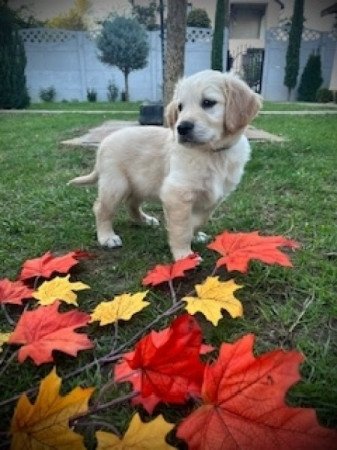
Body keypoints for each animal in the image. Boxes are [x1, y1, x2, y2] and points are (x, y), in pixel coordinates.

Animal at [68, 70, 262, 260]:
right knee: (101, 209)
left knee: (131, 204)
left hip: (140, 183)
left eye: (208, 103)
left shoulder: (214, 197)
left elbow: (198, 220)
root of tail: (104, 143)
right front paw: (184, 255)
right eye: (180, 107)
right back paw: (107, 237)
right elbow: (182, 228)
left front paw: (195, 235)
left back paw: (145, 220)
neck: (212, 154)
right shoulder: (176, 193)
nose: (181, 128)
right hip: (116, 185)